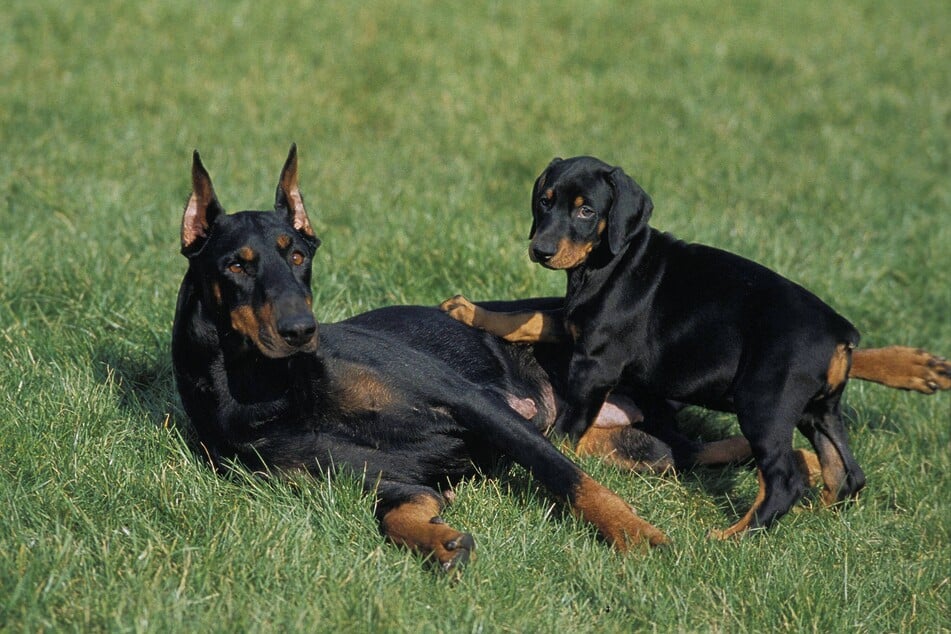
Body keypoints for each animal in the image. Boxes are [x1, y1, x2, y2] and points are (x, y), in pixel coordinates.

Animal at [173, 146, 708, 572]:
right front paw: (440, 541)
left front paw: (637, 535)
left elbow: (570, 480)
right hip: (644, 449)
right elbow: (398, 511)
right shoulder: (372, 477)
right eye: (236, 265)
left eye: (299, 257)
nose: (302, 331)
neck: (274, 387)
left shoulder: (475, 402)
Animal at [442, 156, 948, 536]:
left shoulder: (595, 364)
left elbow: (567, 429)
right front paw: (467, 311)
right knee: (846, 474)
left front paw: (551, 456)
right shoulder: (577, 326)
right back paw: (812, 513)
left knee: (783, 480)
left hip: (765, 403)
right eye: (544, 202)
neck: (614, 259)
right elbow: (536, 319)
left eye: (586, 211)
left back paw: (732, 536)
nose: (541, 250)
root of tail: (841, 334)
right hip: (819, 410)